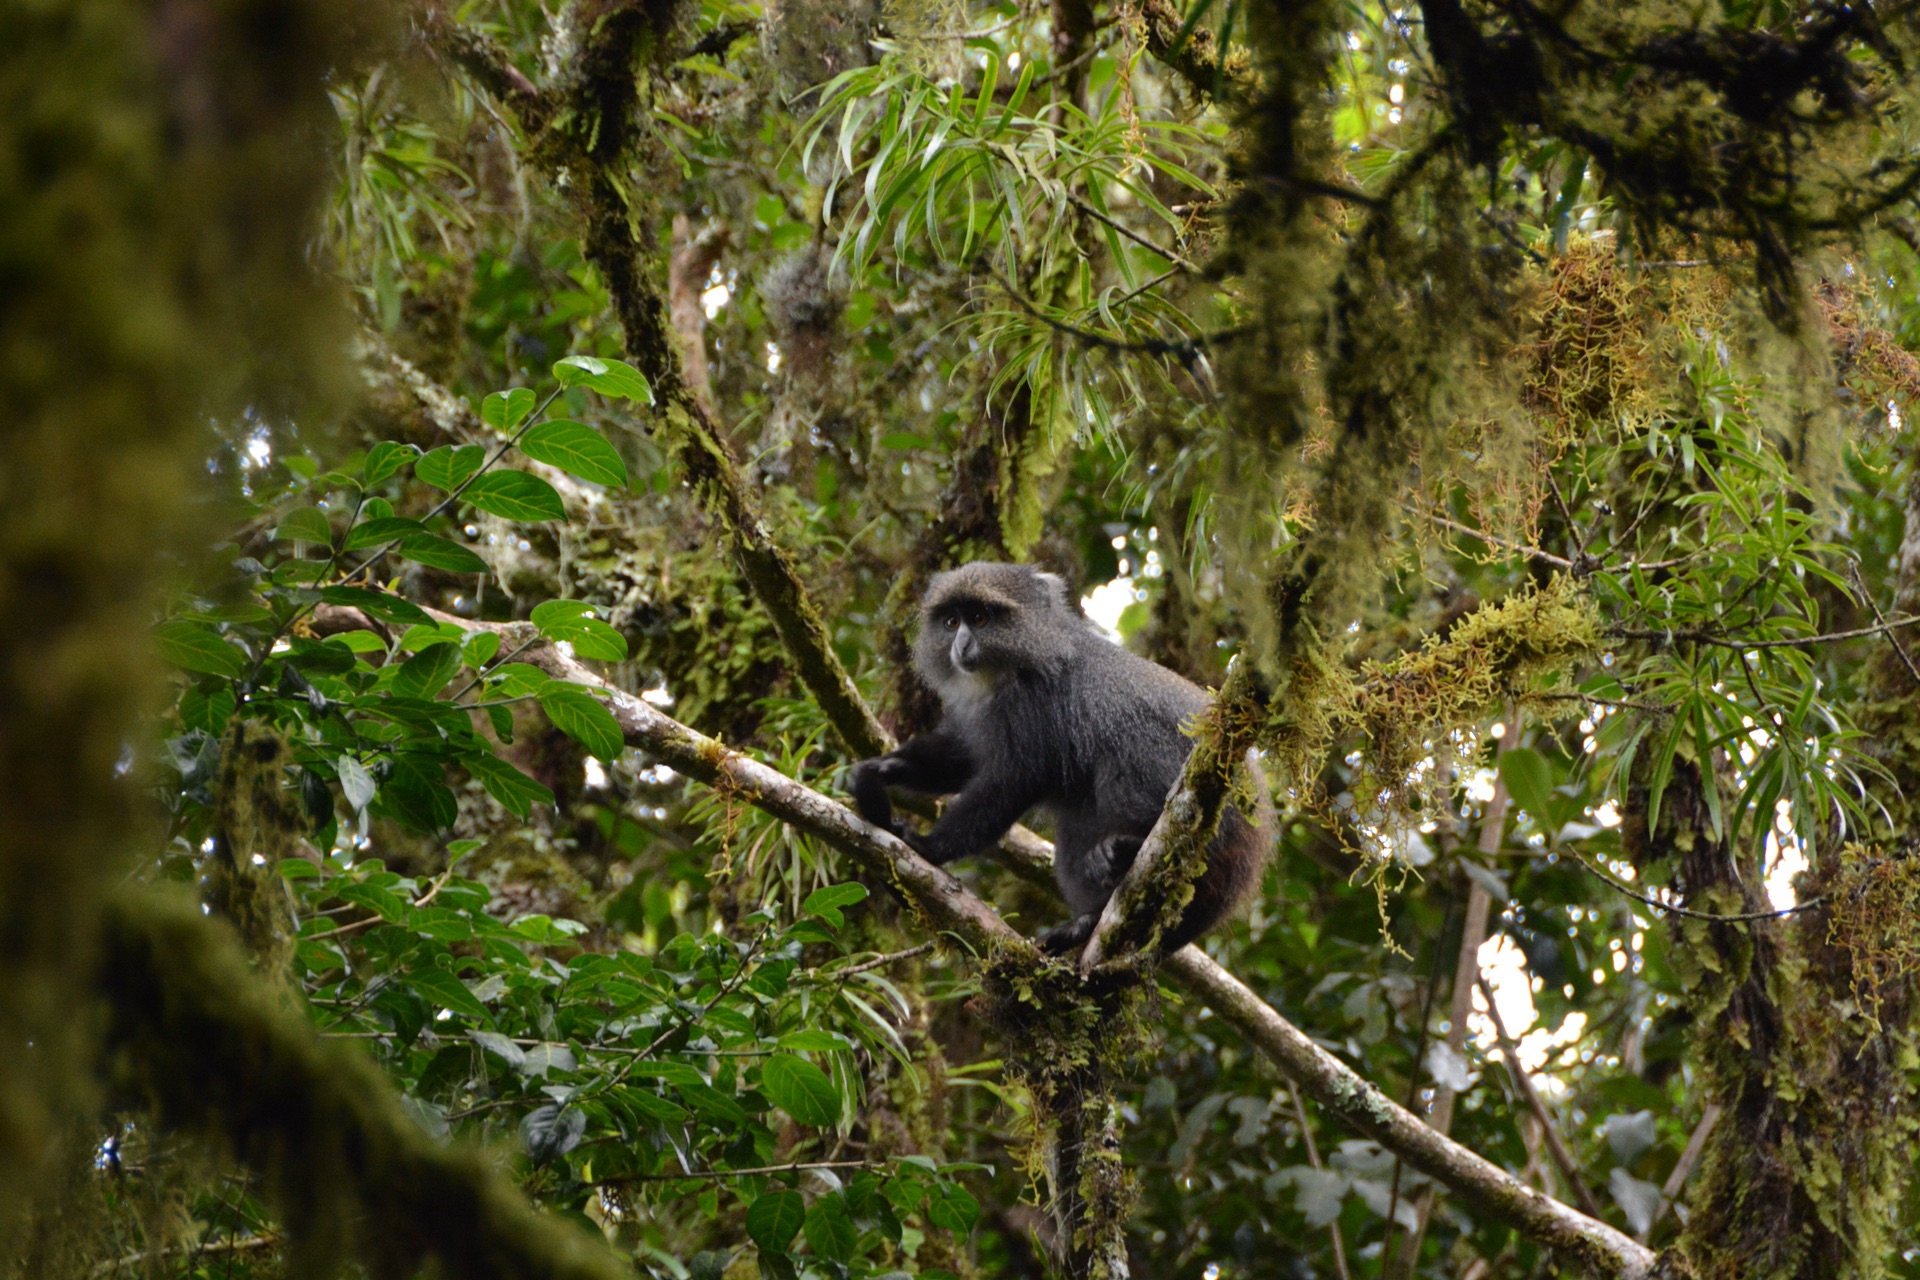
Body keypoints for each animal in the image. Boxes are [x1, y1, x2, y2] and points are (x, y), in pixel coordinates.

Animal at [848, 564, 1267, 955]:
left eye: (981, 618)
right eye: (952, 622)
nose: (961, 644)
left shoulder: (1036, 706)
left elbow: (1012, 782)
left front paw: (929, 846)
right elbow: (959, 760)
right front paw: (879, 771)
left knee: (1124, 752)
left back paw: (1130, 849)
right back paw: (1088, 921)